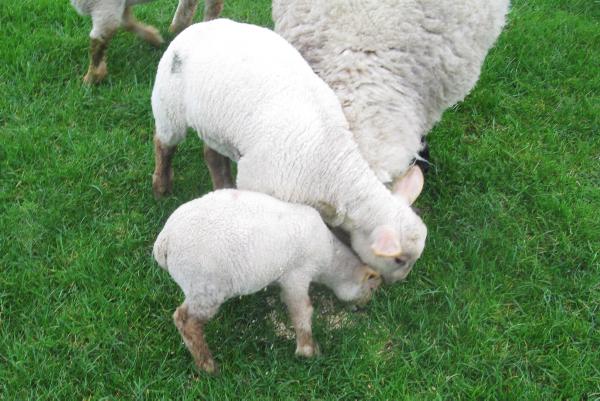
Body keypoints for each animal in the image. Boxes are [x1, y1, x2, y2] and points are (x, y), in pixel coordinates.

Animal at [70, 0, 223, 84]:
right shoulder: (115, 8)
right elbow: (127, 22)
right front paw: (154, 37)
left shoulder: (105, 9)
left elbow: (97, 44)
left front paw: (90, 80)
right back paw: (176, 28)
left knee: (213, 5)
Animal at [151, 19, 427, 280]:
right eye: (399, 260)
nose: (400, 281)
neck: (336, 170)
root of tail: (197, 27)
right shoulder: (258, 183)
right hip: (168, 106)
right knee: (164, 143)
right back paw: (161, 185)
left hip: (215, 125)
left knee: (212, 154)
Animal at [153, 189, 382, 372]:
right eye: (371, 289)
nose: (363, 307)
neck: (330, 259)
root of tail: (164, 241)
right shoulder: (297, 275)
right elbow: (302, 312)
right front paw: (308, 350)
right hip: (205, 285)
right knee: (185, 321)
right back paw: (208, 366)